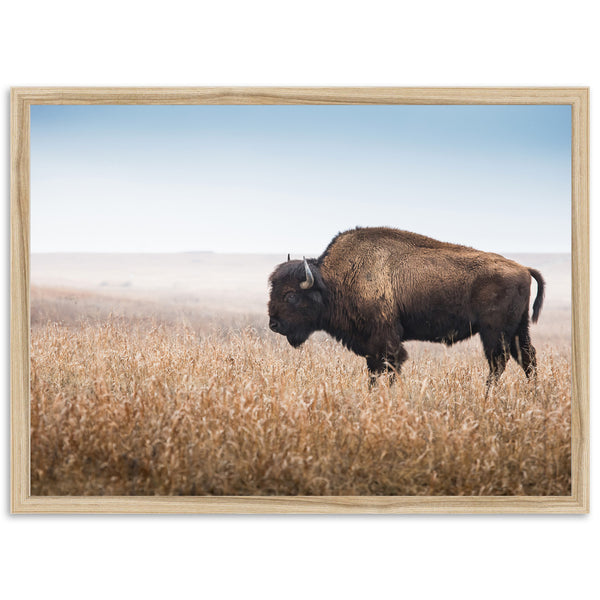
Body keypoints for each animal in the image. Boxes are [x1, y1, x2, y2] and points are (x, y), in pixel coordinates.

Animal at [268, 227, 544, 386]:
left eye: (291, 295)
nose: (273, 324)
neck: (333, 281)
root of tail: (523, 268)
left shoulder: (385, 340)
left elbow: (389, 367)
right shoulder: (371, 345)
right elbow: (374, 371)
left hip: (494, 332)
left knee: (499, 362)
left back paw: (489, 395)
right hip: (519, 329)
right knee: (527, 358)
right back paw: (533, 395)